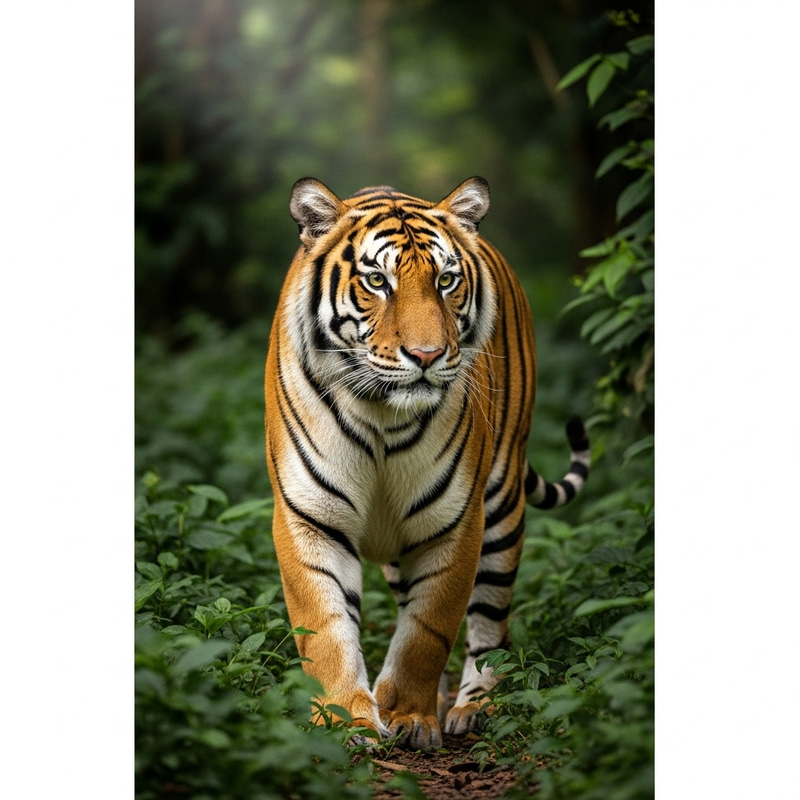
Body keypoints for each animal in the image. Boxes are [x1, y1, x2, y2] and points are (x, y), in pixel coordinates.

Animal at [264, 176, 590, 750]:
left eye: (445, 280)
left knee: (490, 624)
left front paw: (409, 717)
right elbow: (325, 629)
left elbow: (426, 631)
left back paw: (475, 706)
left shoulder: (454, 523)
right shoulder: (310, 517)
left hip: (502, 506)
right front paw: (345, 722)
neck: (379, 413)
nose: (427, 355)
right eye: (377, 281)